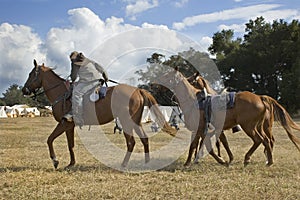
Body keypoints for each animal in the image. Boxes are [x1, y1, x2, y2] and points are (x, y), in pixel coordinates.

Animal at [22, 59, 176, 169]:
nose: (24, 90)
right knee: (144, 139)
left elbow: (50, 139)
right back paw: (146, 163)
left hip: (126, 121)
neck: (61, 93)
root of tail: (137, 90)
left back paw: (124, 164)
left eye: (31, 74)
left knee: (131, 142)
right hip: (135, 122)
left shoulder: (64, 123)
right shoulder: (69, 126)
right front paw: (71, 163)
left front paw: (55, 160)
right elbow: (70, 145)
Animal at [158, 68, 300, 166]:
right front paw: (222, 160)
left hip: (249, 126)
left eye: (168, 76)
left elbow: (197, 145)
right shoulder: (204, 130)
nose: (158, 84)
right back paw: (268, 160)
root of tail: (260, 98)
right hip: (258, 126)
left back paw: (250, 159)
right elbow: (209, 145)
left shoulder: (201, 129)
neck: (193, 100)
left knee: (260, 140)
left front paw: (189, 163)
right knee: (266, 140)